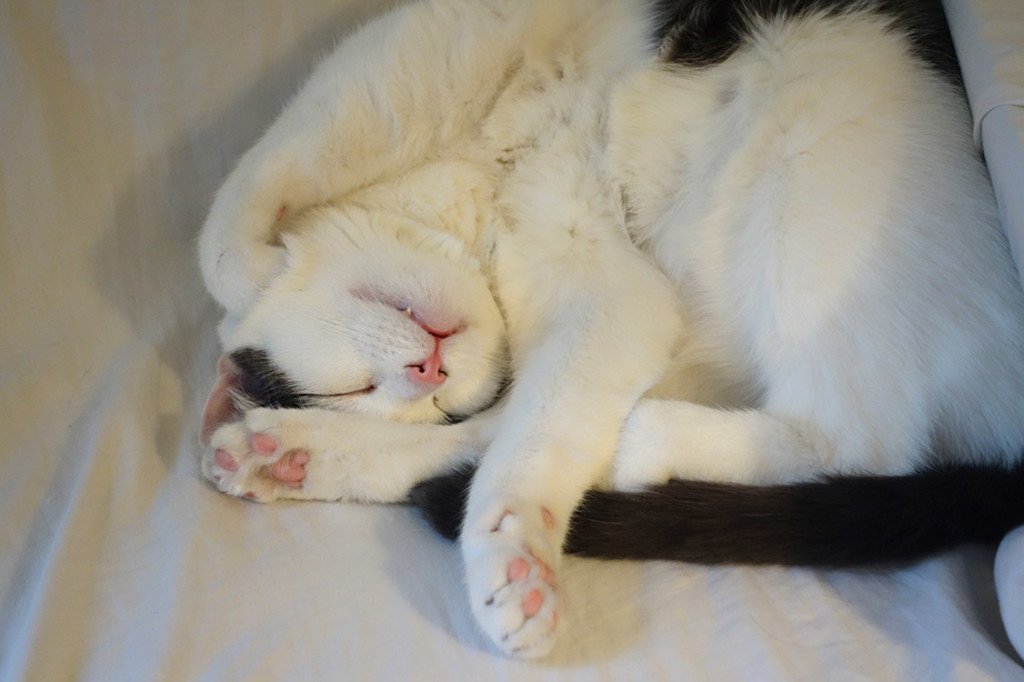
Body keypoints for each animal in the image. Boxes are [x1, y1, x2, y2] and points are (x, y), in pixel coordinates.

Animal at [195, 0, 1024, 659]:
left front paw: (259, 262)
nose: (427, 377)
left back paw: (648, 438)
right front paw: (512, 548)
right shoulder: (610, 293)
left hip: (817, 156)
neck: (474, 192)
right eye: (376, 392)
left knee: (860, 441)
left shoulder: (427, 51)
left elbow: (226, 231)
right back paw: (290, 456)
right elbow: (530, 433)